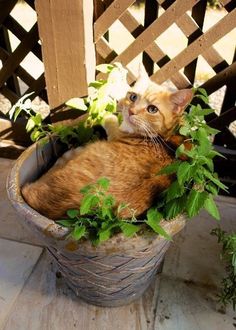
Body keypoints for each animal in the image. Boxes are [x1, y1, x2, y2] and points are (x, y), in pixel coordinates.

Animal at [21, 65, 193, 219]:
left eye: (152, 109)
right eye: (133, 97)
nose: (131, 111)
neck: (162, 138)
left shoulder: (114, 133)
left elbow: (109, 118)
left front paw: (103, 111)